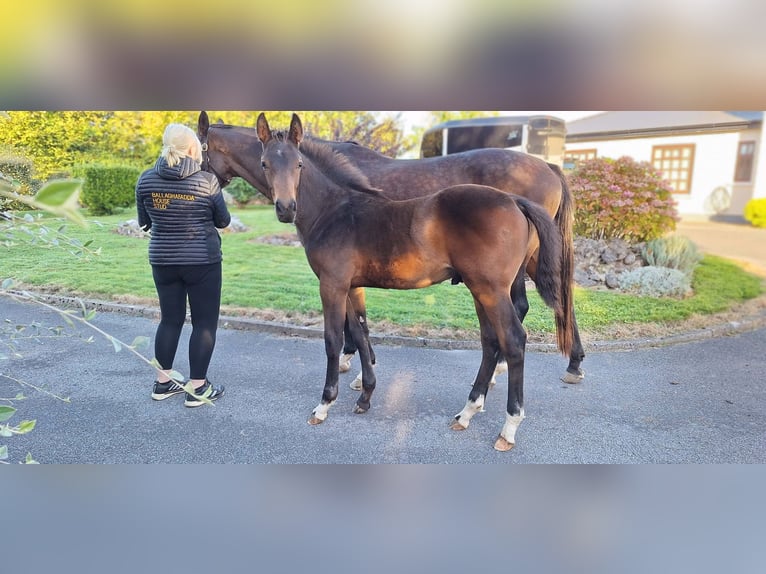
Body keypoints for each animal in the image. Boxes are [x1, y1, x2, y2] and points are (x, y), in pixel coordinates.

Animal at [198, 109, 588, 388]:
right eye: (264, 164)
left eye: (200, 151)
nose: (285, 208)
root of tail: (548, 165)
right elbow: (359, 321)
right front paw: (361, 366)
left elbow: (348, 324)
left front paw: (352, 365)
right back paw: (569, 363)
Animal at [258, 113, 576, 454]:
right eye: (265, 163)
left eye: (299, 164)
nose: (285, 208)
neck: (336, 211)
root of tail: (515, 201)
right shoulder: (349, 287)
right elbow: (359, 331)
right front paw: (365, 396)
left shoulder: (332, 285)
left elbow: (333, 339)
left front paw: (324, 404)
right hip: (480, 289)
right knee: (490, 341)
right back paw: (467, 412)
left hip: (492, 290)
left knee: (513, 341)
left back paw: (508, 427)